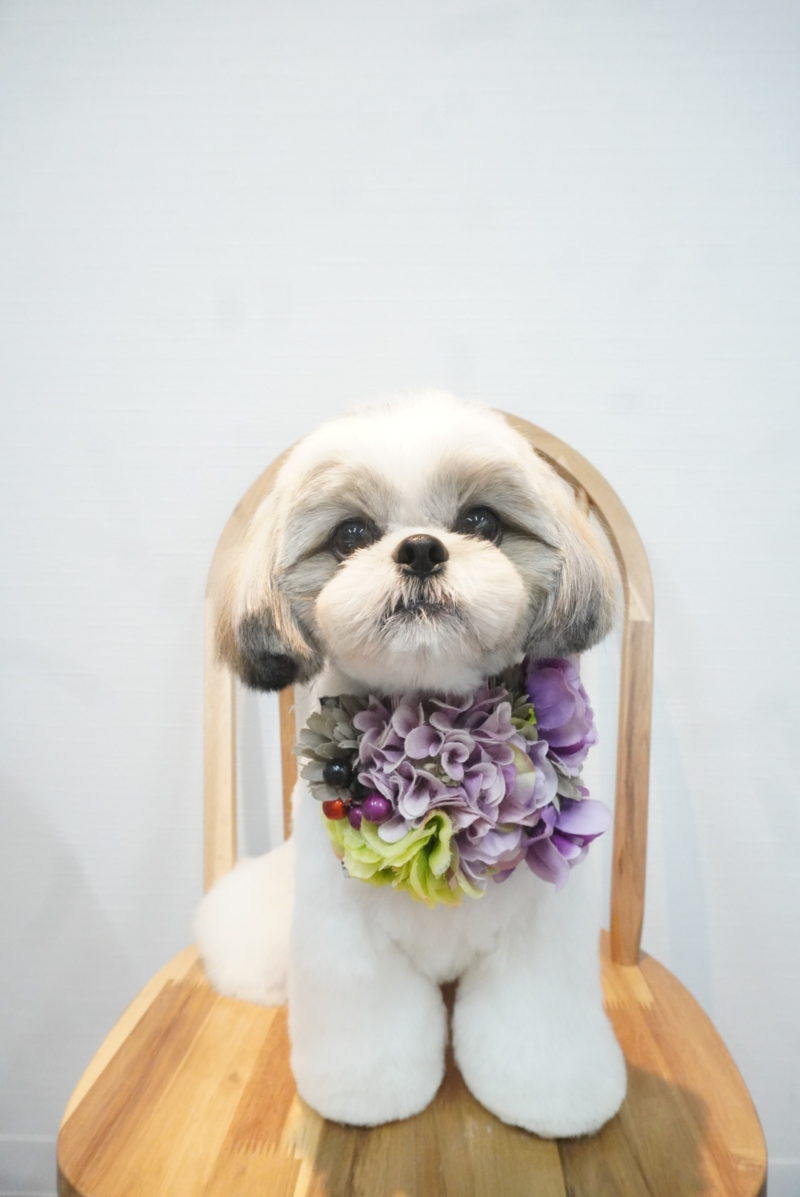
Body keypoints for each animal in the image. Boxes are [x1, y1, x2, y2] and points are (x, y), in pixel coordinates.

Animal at [195, 392, 627, 1136]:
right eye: (350, 534)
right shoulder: (346, 937)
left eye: (481, 521)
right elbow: (372, 1029)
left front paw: (552, 1097)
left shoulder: (536, 933)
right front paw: (365, 1095)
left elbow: (536, 1027)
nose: (421, 548)